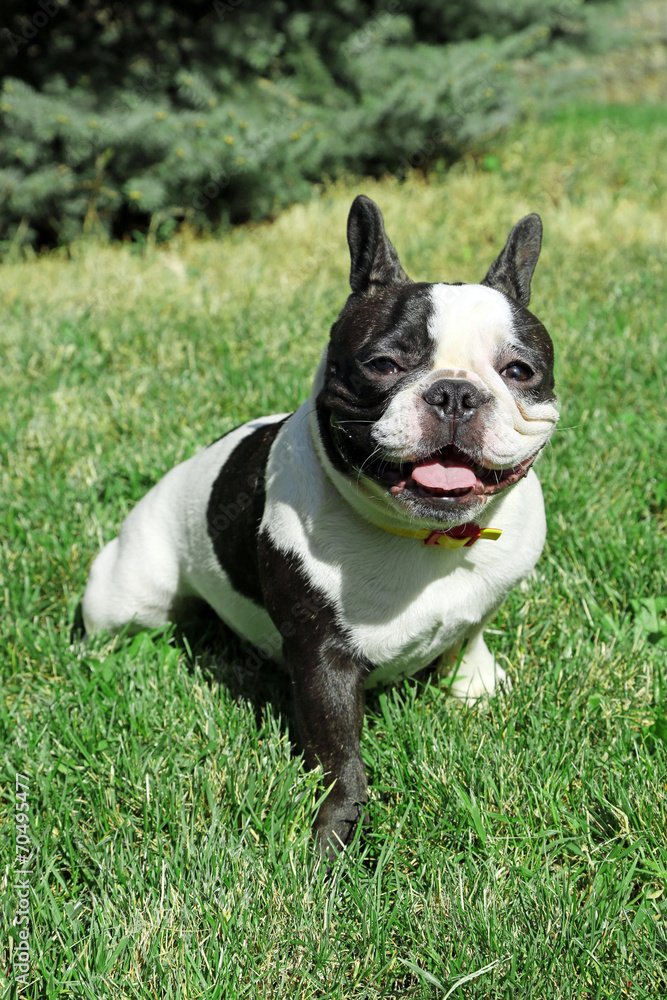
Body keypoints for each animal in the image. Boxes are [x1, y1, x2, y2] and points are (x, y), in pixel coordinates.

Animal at [85, 195, 564, 852]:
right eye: (383, 365)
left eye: (519, 372)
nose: (455, 393)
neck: (428, 536)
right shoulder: (322, 660)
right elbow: (341, 758)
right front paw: (335, 836)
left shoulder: (484, 601)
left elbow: (468, 636)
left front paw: (474, 685)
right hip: (129, 598)